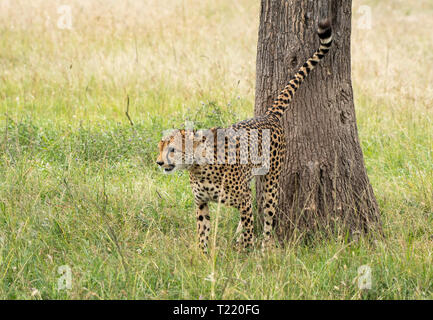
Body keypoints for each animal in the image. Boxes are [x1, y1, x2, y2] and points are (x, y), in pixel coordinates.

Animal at [157, 20, 332, 252]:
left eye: (173, 149)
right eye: (159, 148)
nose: (159, 162)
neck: (199, 167)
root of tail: (268, 115)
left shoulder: (243, 199)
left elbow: (249, 228)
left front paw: (245, 254)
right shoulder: (201, 204)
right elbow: (203, 233)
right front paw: (203, 256)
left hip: (270, 183)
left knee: (267, 217)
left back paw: (264, 247)